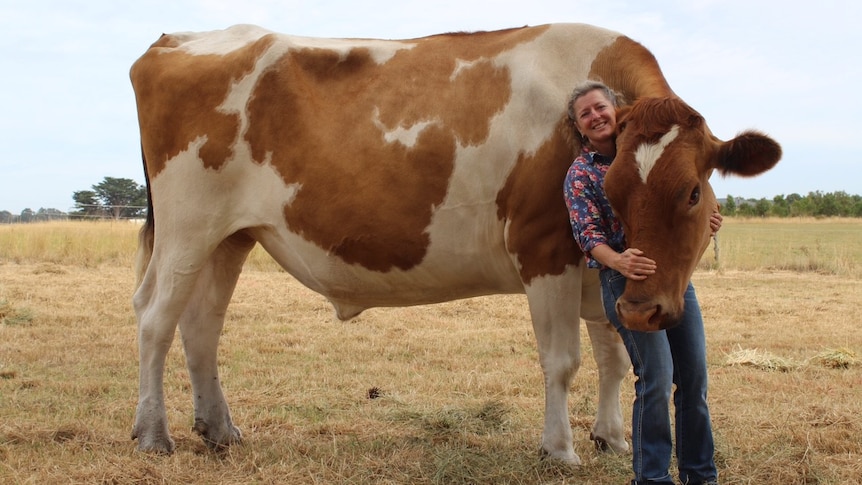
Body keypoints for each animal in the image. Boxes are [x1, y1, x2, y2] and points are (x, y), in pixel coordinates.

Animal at [128, 23, 784, 466]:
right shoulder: (544, 250)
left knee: (202, 324)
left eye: (692, 192)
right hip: (187, 226)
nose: (646, 309)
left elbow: (614, 357)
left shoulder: (594, 272)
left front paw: (613, 438)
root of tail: (176, 39)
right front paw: (560, 449)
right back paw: (154, 434)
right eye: (615, 190)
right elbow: (563, 360)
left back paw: (218, 430)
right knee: (156, 318)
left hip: (229, 237)